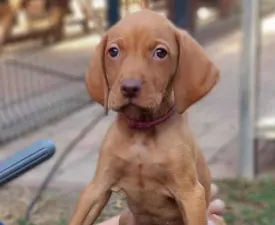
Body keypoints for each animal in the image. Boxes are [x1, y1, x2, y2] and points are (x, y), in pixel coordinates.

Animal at [70, 8, 220, 225]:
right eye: (113, 51)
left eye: (160, 53)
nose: (129, 87)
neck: (142, 131)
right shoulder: (97, 187)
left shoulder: (191, 194)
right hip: (126, 216)